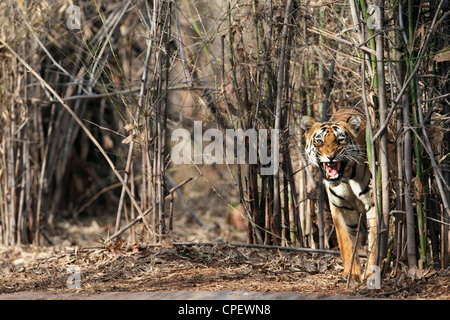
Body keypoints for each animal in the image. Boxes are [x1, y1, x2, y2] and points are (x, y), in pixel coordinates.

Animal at [300, 107, 378, 278]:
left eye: (341, 140)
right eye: (319, 141)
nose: (330, 157)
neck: (347, 176)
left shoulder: (373, 205)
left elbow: (374, 239)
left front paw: (370, 272)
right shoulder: (340, 208)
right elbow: (346, 242)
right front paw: (352, 273)